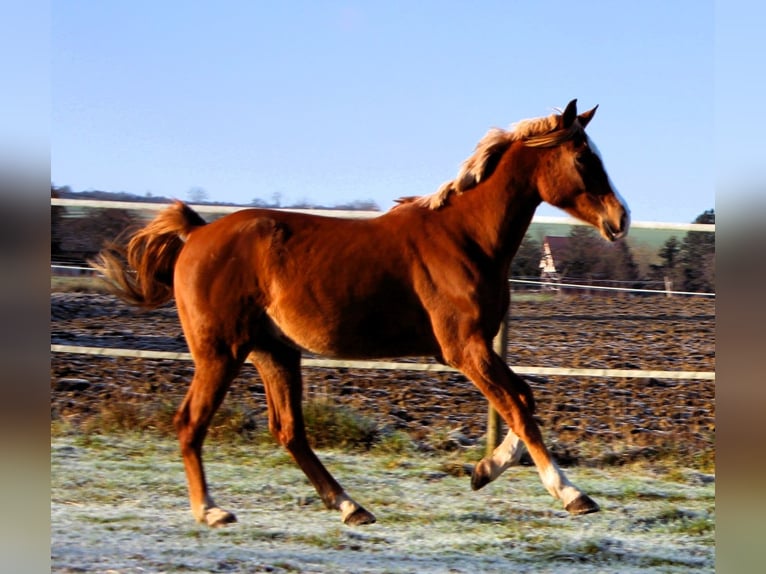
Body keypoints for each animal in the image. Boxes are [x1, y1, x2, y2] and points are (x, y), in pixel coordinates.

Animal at [92, 99, 629, 527]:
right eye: (584, 158)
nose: (620, 218)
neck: (465, 237)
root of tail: (196, 233)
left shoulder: (474, 349)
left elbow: (524, 399)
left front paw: (481, 471)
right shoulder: (463, 348)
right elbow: (518, 405)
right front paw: (571, 494)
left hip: (274, 352)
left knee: (289, 431)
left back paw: (351, 507)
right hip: (220, 352)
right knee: (191, 422)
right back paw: (211, 510)